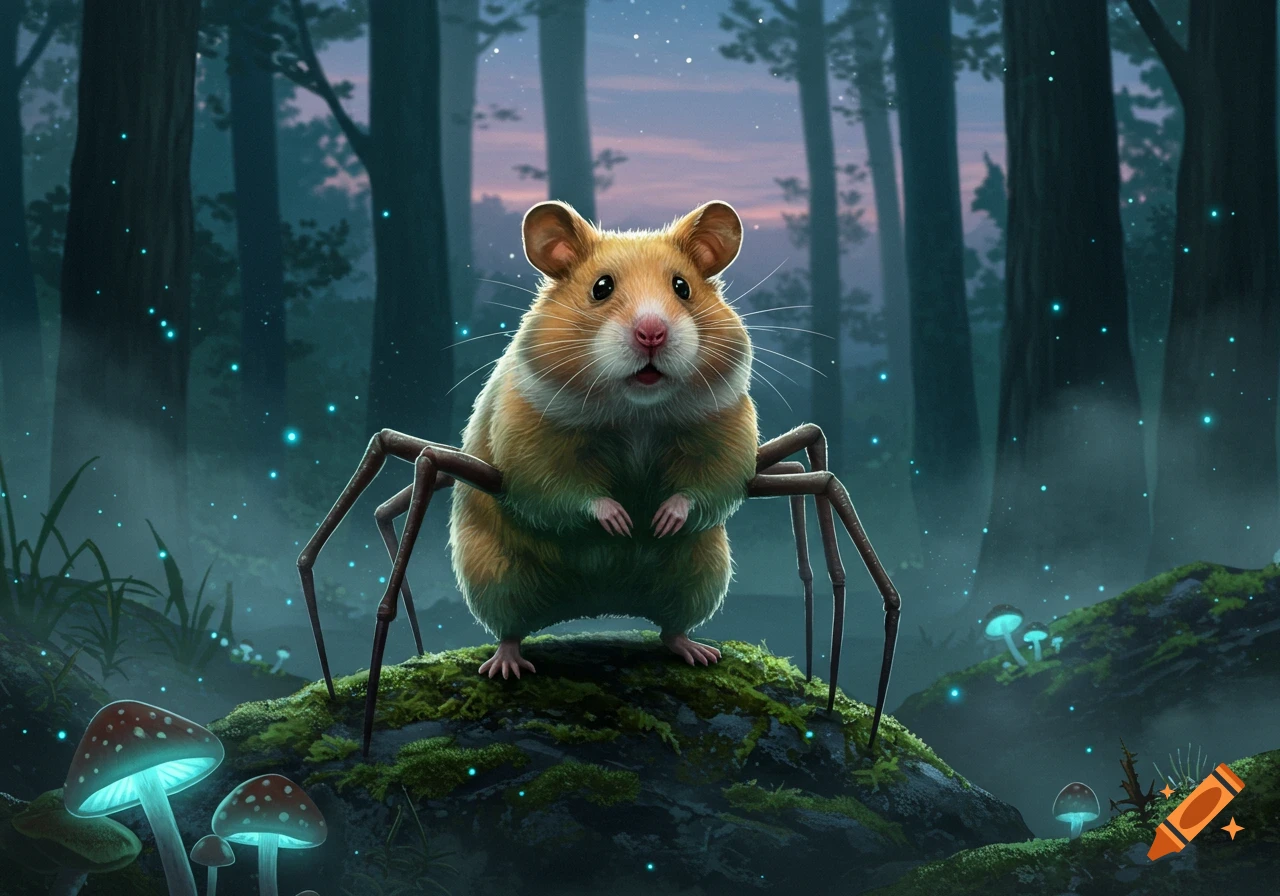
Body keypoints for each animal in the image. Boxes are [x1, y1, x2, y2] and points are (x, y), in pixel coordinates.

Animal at [449, 200, 759, 678]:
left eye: (683, 287)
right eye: (601, 287)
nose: (652, 333)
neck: (636, 411)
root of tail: (595, 606)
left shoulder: (729, 427)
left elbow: (713, 483)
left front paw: (661, 521)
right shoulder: (524, 438)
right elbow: (556, 488)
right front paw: (621, 522)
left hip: (702, 573)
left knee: (673, 625)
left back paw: (698, 652)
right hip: (493, 573)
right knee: (508, 626)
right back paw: (506, 666)